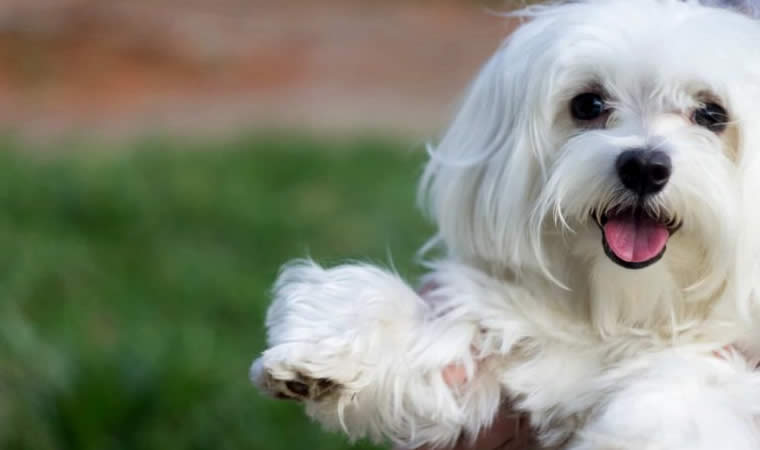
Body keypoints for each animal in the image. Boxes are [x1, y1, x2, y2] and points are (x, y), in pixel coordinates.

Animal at [251, 1, 760, 448]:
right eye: (588, 104)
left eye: (712, 114)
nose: (643, 167)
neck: (624, 313)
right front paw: (332, 340)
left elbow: (692, 387)